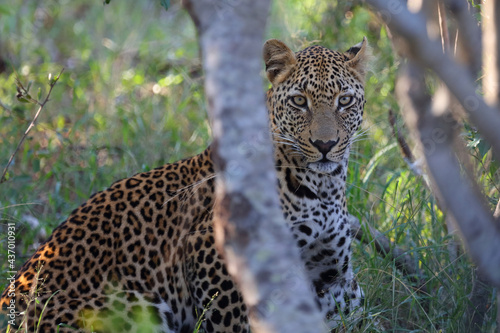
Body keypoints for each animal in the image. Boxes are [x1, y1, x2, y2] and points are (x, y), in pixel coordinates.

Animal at [0, 37, 368, 332]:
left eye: (344, 101)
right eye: (299, 102)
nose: (325, 144)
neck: (323, 187)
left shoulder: (332, 280)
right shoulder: (214, 257)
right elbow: (234, 322)